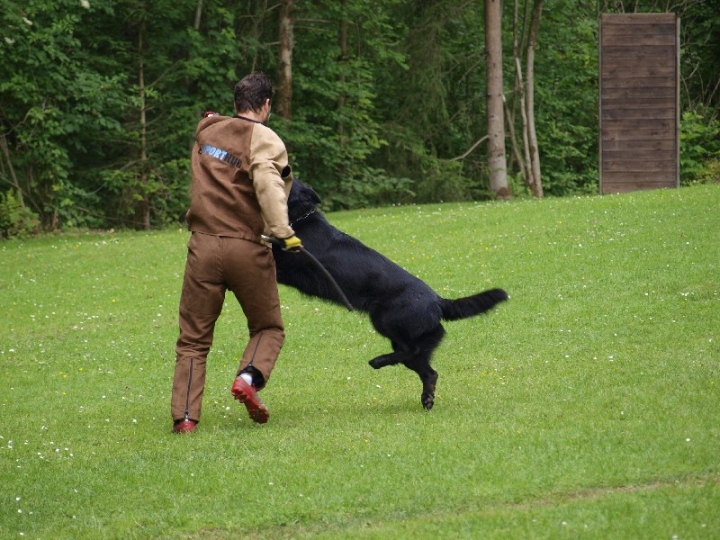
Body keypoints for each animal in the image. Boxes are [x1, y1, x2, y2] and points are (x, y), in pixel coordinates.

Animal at [272, 178, 510, 410]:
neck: (301, 218)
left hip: (383, 320)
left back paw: (378, 361)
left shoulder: (284, 267)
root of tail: (439, 302)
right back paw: (426, 398)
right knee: (428, 370)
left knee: (413, 352)